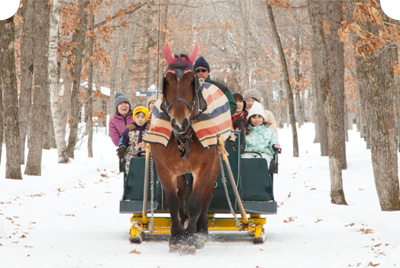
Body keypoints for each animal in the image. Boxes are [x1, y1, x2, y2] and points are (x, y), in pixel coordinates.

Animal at [145, 44, 230, 253]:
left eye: (192, 82)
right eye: (166, 82)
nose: (179, 123)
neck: (183, 137)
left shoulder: (204, 167)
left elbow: (195, 202)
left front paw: (191, 238)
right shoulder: (164, 169)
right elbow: (174, 201)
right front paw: (176, 236)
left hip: (214, 165)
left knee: (206, 196)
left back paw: (201, 230)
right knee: (183, 191)